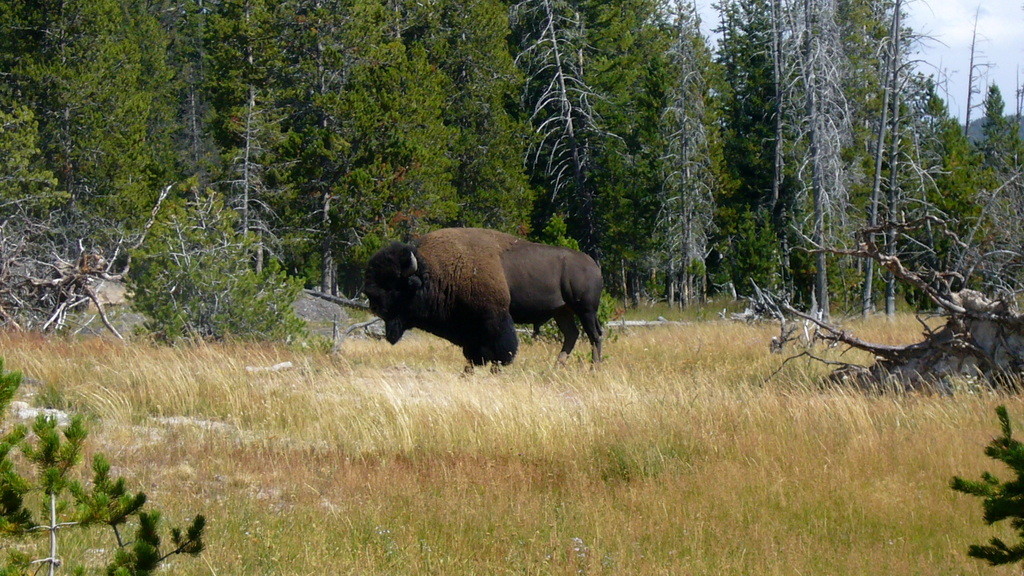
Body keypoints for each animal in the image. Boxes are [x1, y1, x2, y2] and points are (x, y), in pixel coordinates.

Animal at [366, 226, 598, 364]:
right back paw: (557, 366)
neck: (435, 271)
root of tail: (593, 264)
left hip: (586, 310)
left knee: (594, 335)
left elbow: (503, 352)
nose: (373, 303)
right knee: (572, 334)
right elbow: (474, 355)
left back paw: (593, 366)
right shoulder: (470, 331)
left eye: (395, 286)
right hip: (562, 311)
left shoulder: (495, 319)